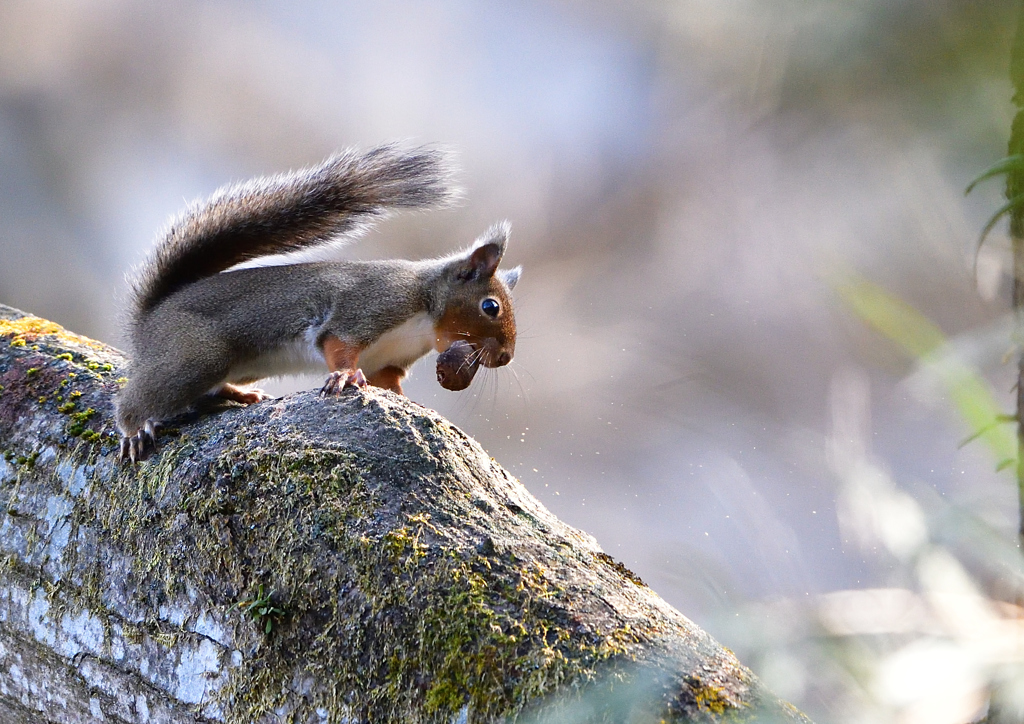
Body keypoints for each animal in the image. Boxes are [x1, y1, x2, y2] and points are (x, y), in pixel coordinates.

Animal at [117, 145, 520, 460]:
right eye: (490, 307)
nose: (504, 357)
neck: (423, 313)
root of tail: (149, 320)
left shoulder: (388, 361)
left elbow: (388, 383)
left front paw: (412, 404)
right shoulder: (367, 307)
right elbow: (339, 346)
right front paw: (344, 376)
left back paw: (240, 393)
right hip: (195, 355)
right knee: (138, 398)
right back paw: (135, 430)